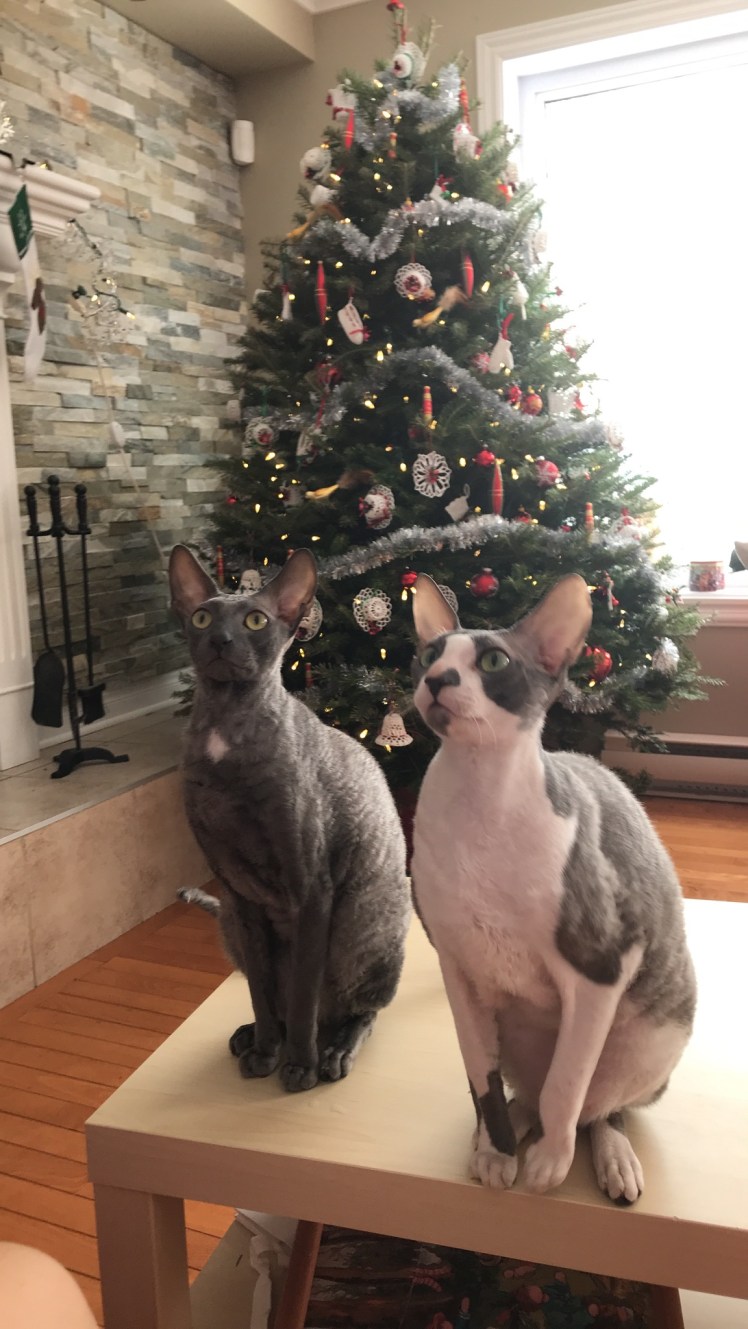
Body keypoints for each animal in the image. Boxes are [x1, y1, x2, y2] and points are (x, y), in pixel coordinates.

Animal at [169, 544, 411, 1092]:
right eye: (202, 617)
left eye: (255, 620)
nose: (220, 639)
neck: (225, 732)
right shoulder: (241, 895)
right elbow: (262, 992)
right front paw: (266, 1049)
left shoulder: (310, 891)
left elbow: (303, 995)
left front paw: (298, 1066)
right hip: (231, 924)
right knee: (277, 994)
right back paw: (252, 1036)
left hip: (358, 921)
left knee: (359, 1009)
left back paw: (333, 1051)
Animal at [409, 572, 696, 1202]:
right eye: (429, 655)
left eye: (493, 661)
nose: (437, 680)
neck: (478, 803)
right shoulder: (457, 969)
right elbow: (480, 1077)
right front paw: (496, 1152)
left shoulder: (601, 966)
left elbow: (570, 1083)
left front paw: (548, 1165)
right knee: (526, 1088)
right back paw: (509, 1128)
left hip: (647, 1035)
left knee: (597, 1103)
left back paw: (608, 1158)